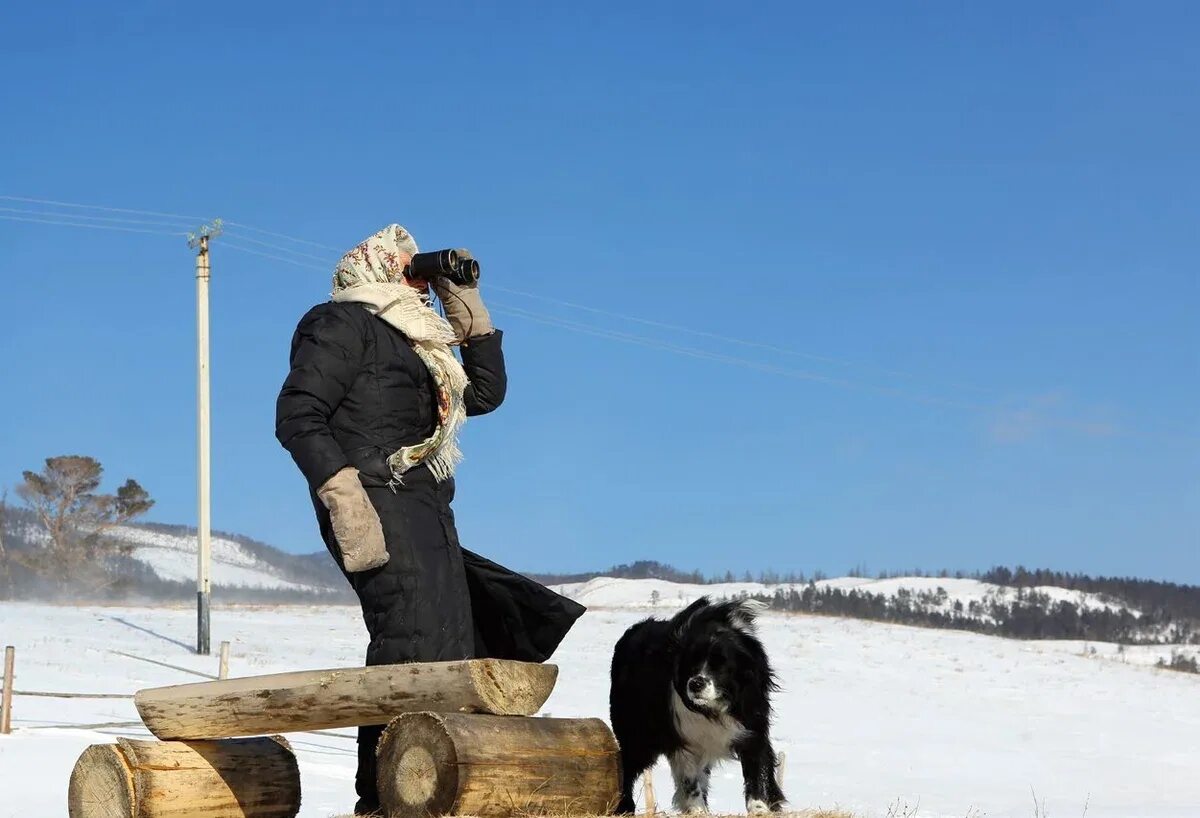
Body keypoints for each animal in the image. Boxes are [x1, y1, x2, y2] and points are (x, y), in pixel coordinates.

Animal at [609, 594, 787, 810]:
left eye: (721, 664)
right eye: (690, 663)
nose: (695, 683)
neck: (714, 709)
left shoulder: (752, 727)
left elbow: (758, 773)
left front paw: (760, 809)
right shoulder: (683, 738)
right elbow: (690, 782)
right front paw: (698, 810)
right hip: (638, 733)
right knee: (628, 765)